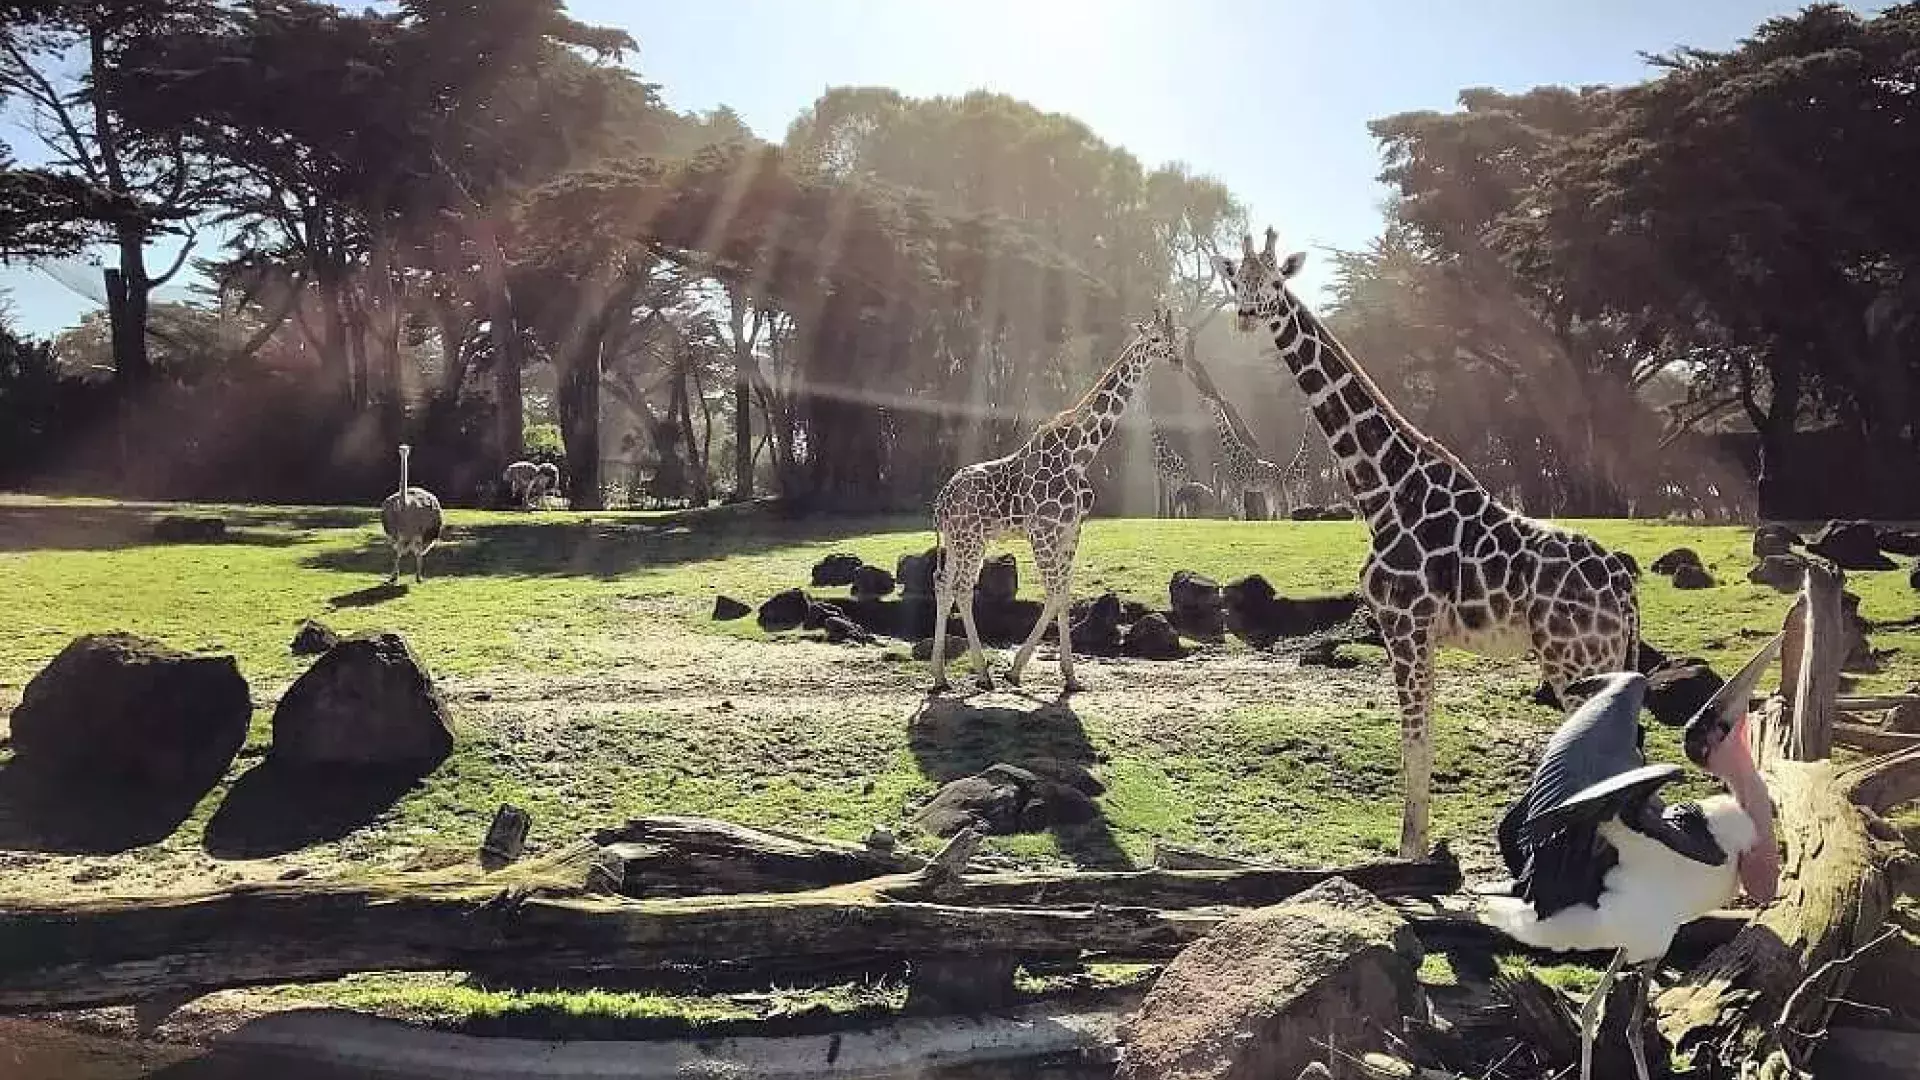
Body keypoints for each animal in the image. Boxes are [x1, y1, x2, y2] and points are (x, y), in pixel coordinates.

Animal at [925, 305, 1182, 687]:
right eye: (1153, 338)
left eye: (1175, 335)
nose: (1178, 358)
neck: (1080, 454)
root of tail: (941, 501)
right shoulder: (1043, 532)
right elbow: (1054, 591)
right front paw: (1018, 669)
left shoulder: (1071, 531)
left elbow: (1064, 591)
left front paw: (1069, 675)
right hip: (969, 540)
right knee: (961, 588)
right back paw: (983, 673)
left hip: (962, 541)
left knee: (944, 585)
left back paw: (941, 676)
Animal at [1213, 226, 1635, 857]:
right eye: (1237, 278)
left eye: (1274, 281)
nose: (1244, 315)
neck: (1385, 492)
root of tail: (1628, 588)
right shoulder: (1420, 631)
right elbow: (1425, 733)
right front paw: (1419, 846)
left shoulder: (1404, 621)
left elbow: (1414, 738)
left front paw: (1408, 852)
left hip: (1576, 659)